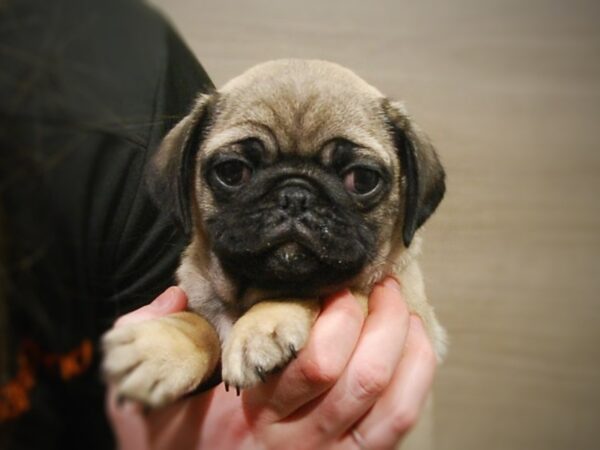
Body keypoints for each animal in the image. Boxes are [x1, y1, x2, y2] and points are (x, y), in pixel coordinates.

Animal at [102, 59, 446, 408]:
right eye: (231, 171)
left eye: (362, 179)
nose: (295, 195)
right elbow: (198, 323)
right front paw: (161, 346)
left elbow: (317, 292)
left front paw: (263, 326)